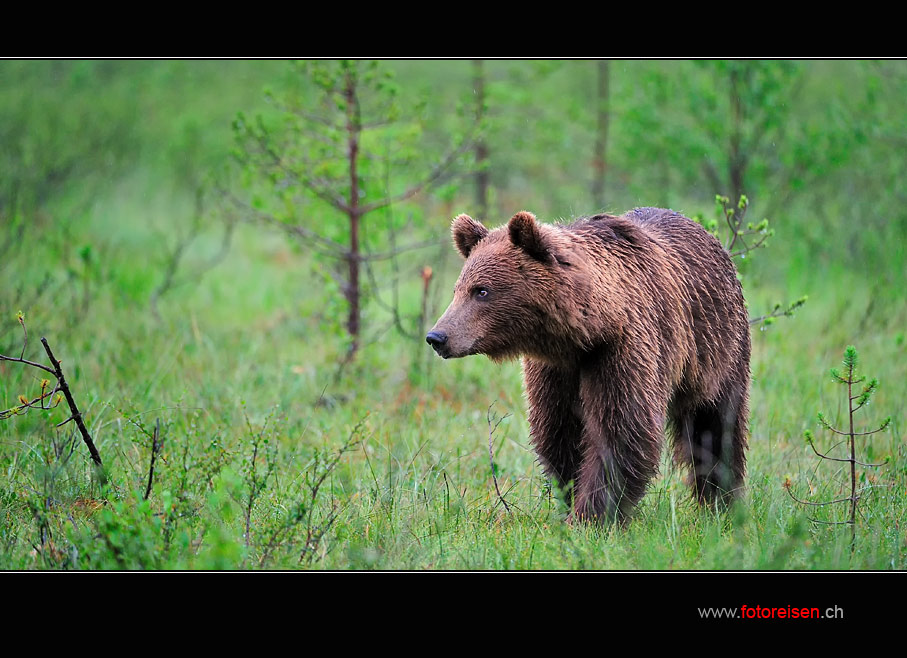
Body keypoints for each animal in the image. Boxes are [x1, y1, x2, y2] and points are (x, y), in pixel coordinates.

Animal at [428, 208, 752, 520]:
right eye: (458, 289)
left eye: (482, 291)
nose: (437, 336)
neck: (587, 331)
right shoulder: (556, 369)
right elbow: (559, 431)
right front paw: (571, 495)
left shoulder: (623, 348)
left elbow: (621, 431)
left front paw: (591, 515)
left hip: (719, 349)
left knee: (717, 425)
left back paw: (721, 501)